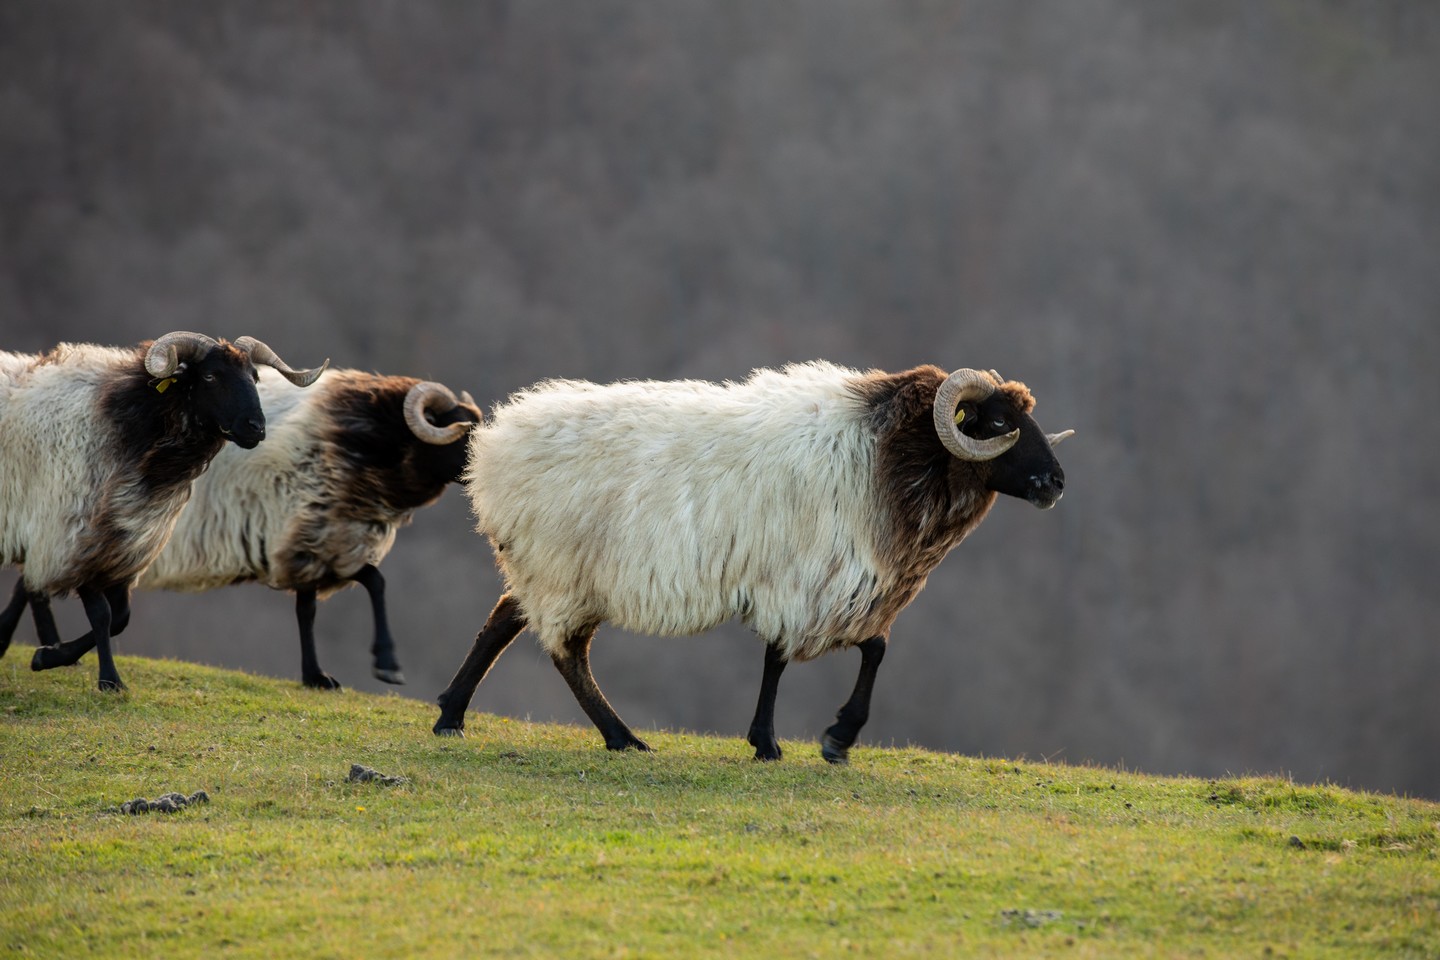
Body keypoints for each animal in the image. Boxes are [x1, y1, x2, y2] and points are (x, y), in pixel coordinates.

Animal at [2, 333, 324, 687]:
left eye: (253, 376)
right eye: (210, 376)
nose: (256, 427)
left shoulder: (121, 543)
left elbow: (120, 618)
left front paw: (50, 656)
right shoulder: (73, 538)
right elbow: (102, 615)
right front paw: (109, 679)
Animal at [121, 368, 480, 690]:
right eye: (467, 434)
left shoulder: (324, 542)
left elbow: (310, 609)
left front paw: (315, 676)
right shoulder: (309, 541)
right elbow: (373, 583)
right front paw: (386, 664)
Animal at [426, 362, 1071, 765]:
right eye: (997, 423)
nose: (1056, 483)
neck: (891, 457)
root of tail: (493, 449)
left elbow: (857, 649)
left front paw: (816, 739)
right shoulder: (808, 579)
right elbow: (813, 655)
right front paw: (810, 739)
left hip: (551, 569)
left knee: (503, 621)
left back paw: (452, 714)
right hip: (563, 569)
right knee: (565, 654)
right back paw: (621, 737)